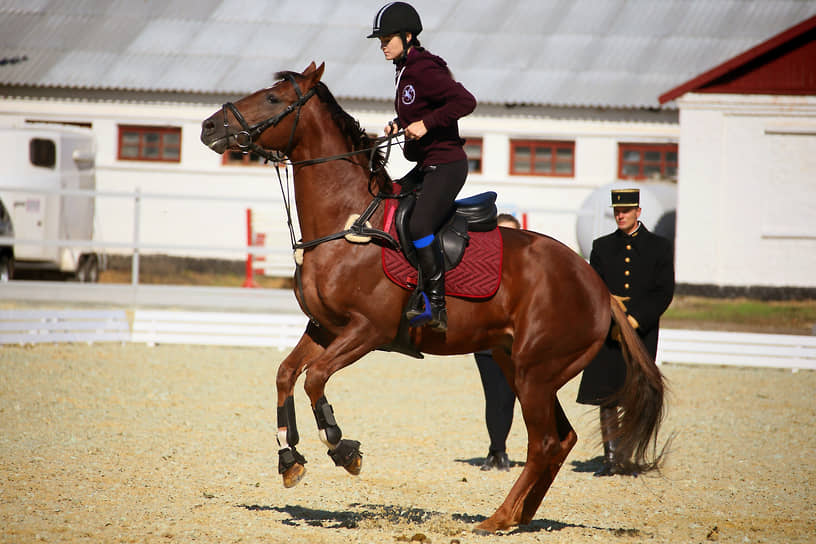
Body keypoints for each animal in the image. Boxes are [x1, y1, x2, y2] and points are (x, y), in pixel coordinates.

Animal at [201, 62, 668, 532]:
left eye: (273, 99)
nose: (209, 127)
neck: (348, 223)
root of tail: (597, 285)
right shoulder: (324, 328)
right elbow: (285, 374)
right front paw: (289, 458)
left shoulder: (367, 331)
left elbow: (315, 377)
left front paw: (342, 449)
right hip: (519, 366)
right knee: (561, 439)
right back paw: (520, 515)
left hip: (535, 373)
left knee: (544, 444)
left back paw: (498, 518)